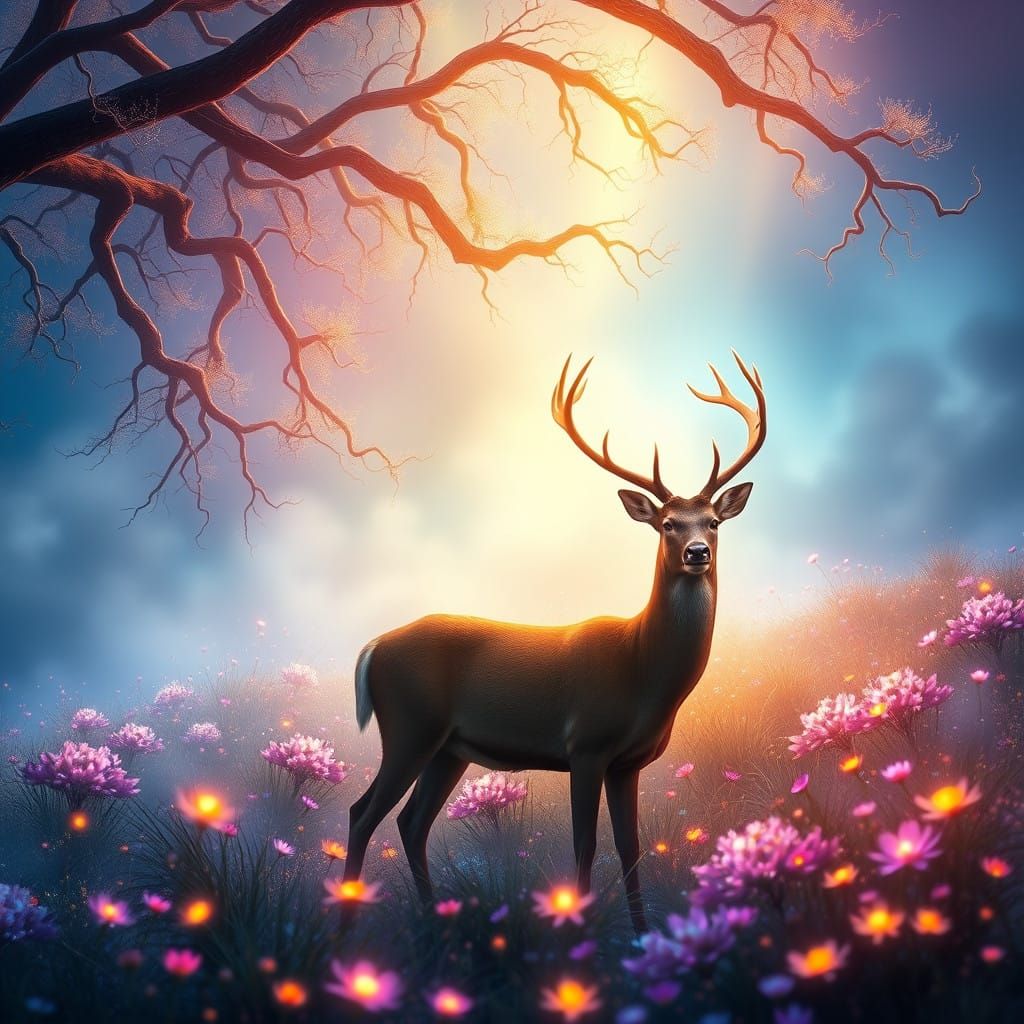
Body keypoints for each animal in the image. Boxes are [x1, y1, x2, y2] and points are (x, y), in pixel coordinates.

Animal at [344, 351, 766, 933]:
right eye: (666, 524)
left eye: (714, 522)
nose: (698, 552)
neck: (644, 671)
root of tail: (372, 648)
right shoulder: (585, 744)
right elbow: (585, 844)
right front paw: (581, 930)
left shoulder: (629, 762)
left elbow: (631, 847)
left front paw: (642, 935)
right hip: (409, 727)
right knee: (362, 813)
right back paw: (343, 926)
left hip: (448, 748)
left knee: (411, 821)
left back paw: (433, 923)